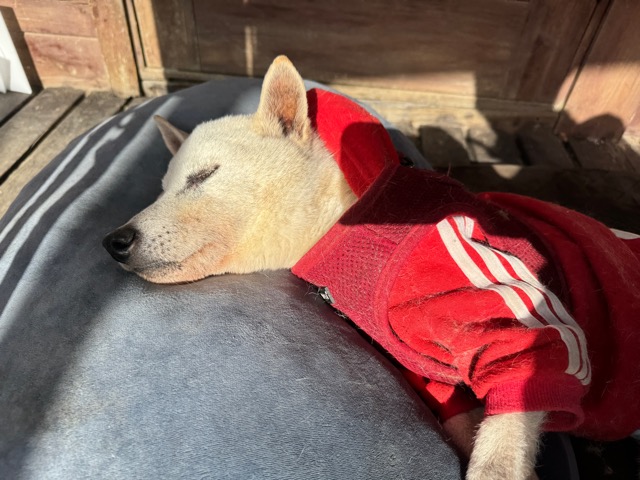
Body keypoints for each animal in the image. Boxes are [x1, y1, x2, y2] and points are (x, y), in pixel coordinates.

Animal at [103, 56, 640, 480]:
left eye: (204, 175)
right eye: (162, 187)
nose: (114, 240)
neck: (348, 216)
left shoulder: (482, 281)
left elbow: (528, 361)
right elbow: (462, 410)